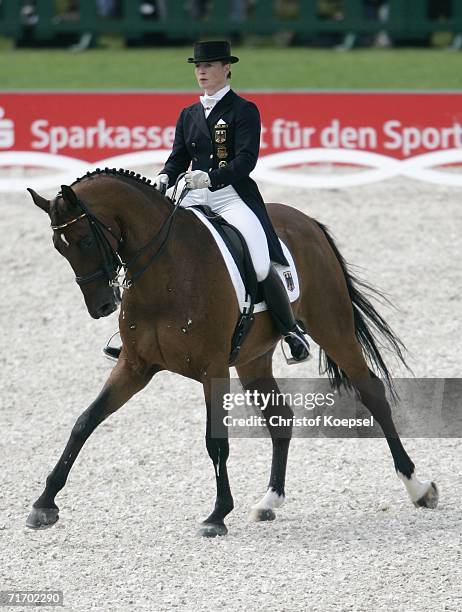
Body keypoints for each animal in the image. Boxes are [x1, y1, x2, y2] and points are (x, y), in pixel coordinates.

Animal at [27, 167, 438, 536]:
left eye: (85, 240)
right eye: (58, 248)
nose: (101, 306)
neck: (165, 273)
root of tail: (305, 220)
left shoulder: (211, 369)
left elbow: (216, 442)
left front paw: (217, 514)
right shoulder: (134, 366)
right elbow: (85, 422)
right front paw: (44, 504)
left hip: (332, 328)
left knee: (372, 394)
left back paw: (418, 488)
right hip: (253, 359)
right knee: (280, 417)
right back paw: (270, 500)